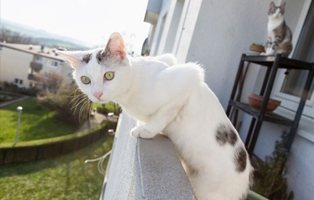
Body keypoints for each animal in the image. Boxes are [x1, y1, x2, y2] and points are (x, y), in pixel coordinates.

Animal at [59, 32, 254, 200]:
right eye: (85, 80)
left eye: (109, 75)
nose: (97, 94)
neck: (130, 92)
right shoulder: (169, 58)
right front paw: (141, 124)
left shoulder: (188, 76)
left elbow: (163, 115)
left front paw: (147, 130)